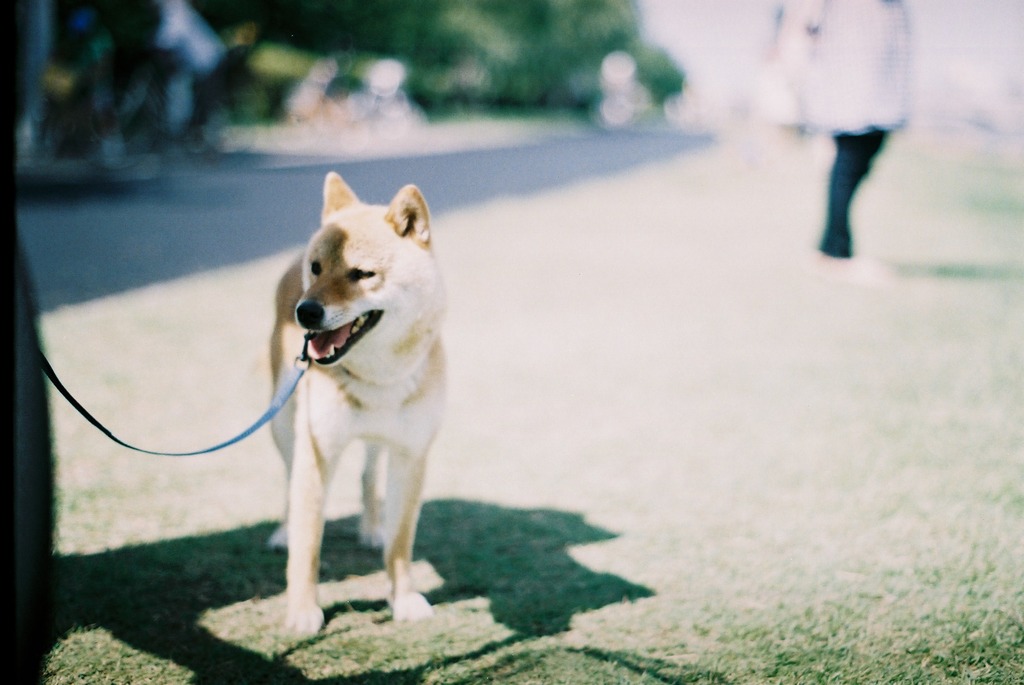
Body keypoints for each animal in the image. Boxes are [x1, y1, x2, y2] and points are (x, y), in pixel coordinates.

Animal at [268, 172, 444, 634]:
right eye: (316, 268)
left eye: (363, 274)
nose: (306, 312)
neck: (377, 377)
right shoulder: (317, 453)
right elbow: (308, 545)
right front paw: (302, 610)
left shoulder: (410, 455)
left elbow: (401, 543)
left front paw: (403, 599)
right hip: (283, 421)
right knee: (287, 478)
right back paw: (283, 531)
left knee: (368, 474)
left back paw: (371, 526)